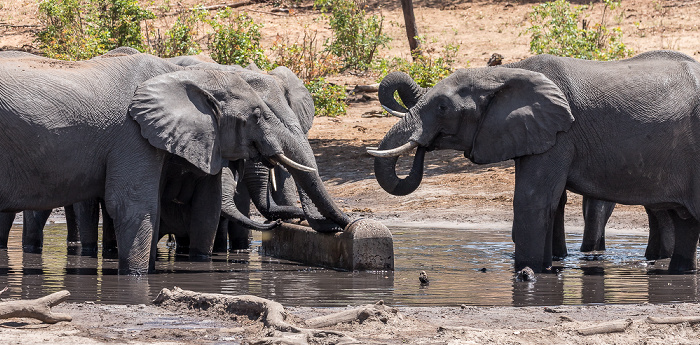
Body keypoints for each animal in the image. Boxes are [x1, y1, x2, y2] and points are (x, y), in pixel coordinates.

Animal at [0, 50, 316, 274]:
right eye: (257, 115)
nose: (287, 222)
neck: (185, 75)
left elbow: (204, 207)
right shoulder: (131, 132)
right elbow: (135, 204)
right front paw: (137, 277)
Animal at [372, 50, 700, 272]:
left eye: (442, 107)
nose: (423, 147)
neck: (504, 73)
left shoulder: (559, 134)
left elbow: (531, 200)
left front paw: (527, 272)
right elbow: (546, 202)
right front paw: (543, 269)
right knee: (684, 221)